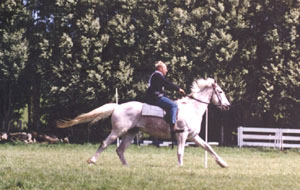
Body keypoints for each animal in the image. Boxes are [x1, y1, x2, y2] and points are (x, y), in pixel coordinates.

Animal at [56, 78, 230, 167]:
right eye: (220, 92)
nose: (228, 106)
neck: (192, 108)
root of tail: (118, 106)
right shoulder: (182, 135)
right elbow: (180, 152)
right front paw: (180, 167)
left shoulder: (193, 136)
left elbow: (208, 147)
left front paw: (223, 163)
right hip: (118, 131)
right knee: (105, 143)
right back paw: (92, 161)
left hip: (130, 133)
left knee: (120, 149)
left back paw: (127, 167)